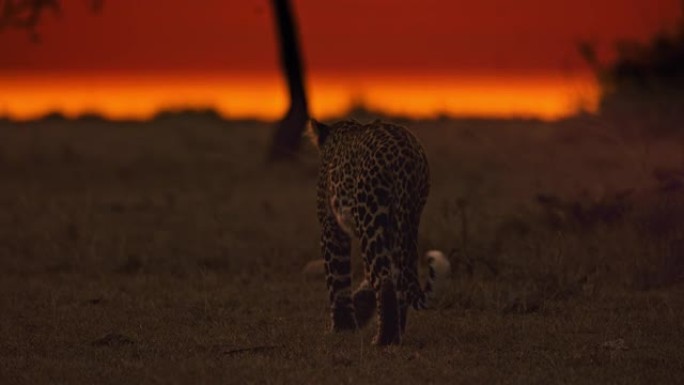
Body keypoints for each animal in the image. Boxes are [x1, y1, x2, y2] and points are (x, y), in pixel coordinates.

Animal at [306, 118, 446, 344]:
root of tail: (406, 156)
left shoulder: (331, 227)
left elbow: (337, 279)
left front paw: (342, 328)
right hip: (403, 223)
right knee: (399, 280)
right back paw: (396, 336)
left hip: (369, 218)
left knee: (383, 278)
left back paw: (382, 340)